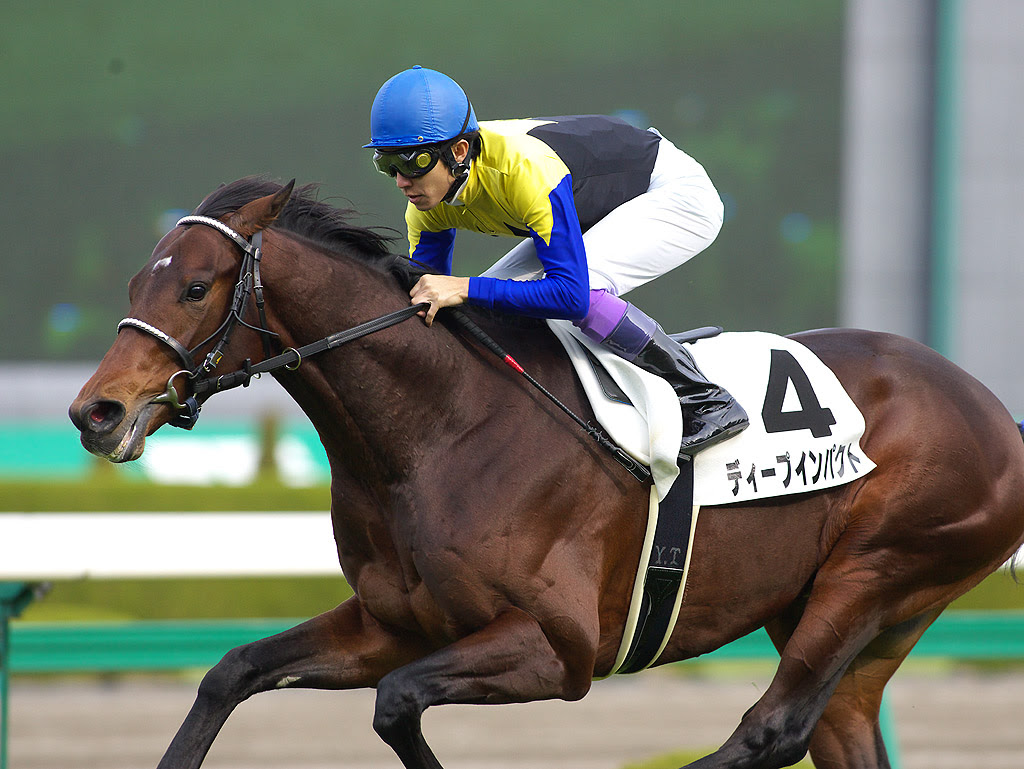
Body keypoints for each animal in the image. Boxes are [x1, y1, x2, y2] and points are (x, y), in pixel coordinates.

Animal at [69, 177, 1024, 769]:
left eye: (196, 287)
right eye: (137, 280)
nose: (96, 412)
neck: (439, 429)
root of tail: (994, 411)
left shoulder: (556, 646)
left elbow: (394, 702)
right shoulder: (393, 622)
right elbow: (233, 671)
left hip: (876, 568)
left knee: (772, 729)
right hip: (858, 615)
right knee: (834, 726)